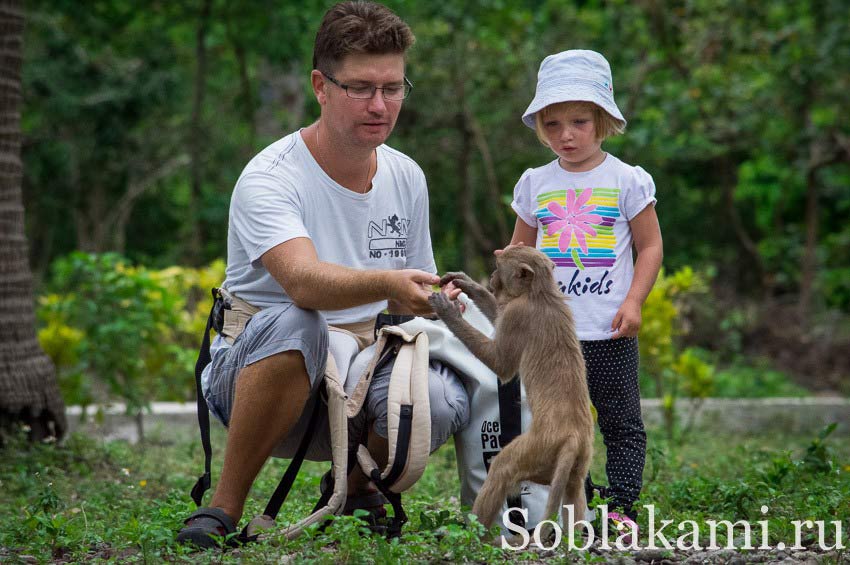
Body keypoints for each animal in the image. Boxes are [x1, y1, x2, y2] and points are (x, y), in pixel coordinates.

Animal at [428, 246, 592, 528]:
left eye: (498, 266)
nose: (492, 277)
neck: (541, 292)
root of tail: (573, 435)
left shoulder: (518, 314)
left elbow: (501, 364)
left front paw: (449, 312)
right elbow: (498, 317)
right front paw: (468, 284)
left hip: (538, 448)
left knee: (502, 467)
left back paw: (477, 532)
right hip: (579, 458)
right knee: (574, 487)